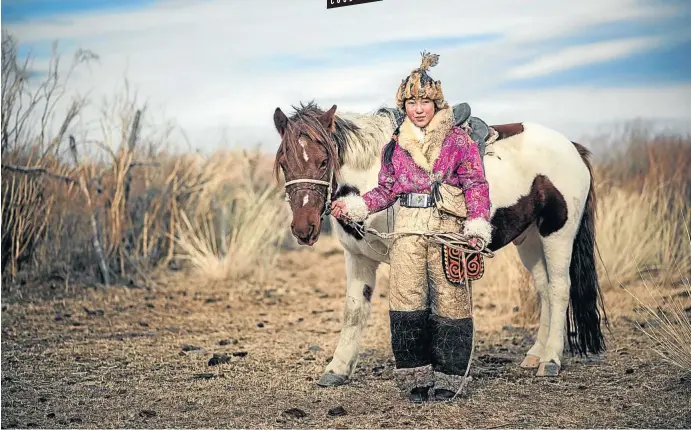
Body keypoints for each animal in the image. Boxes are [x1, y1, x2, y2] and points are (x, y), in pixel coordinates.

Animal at [274, 100, 608, 386]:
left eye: (324, 161)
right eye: (284, 163)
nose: (304, 228)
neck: (369, 176)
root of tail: (573, 148)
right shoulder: (358, 258)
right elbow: (354, 311)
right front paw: (338, 369)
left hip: (558, 234)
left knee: (559, 288)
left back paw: (550, 360)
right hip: (530, 241)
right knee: (543, 289)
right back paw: (535, 354)